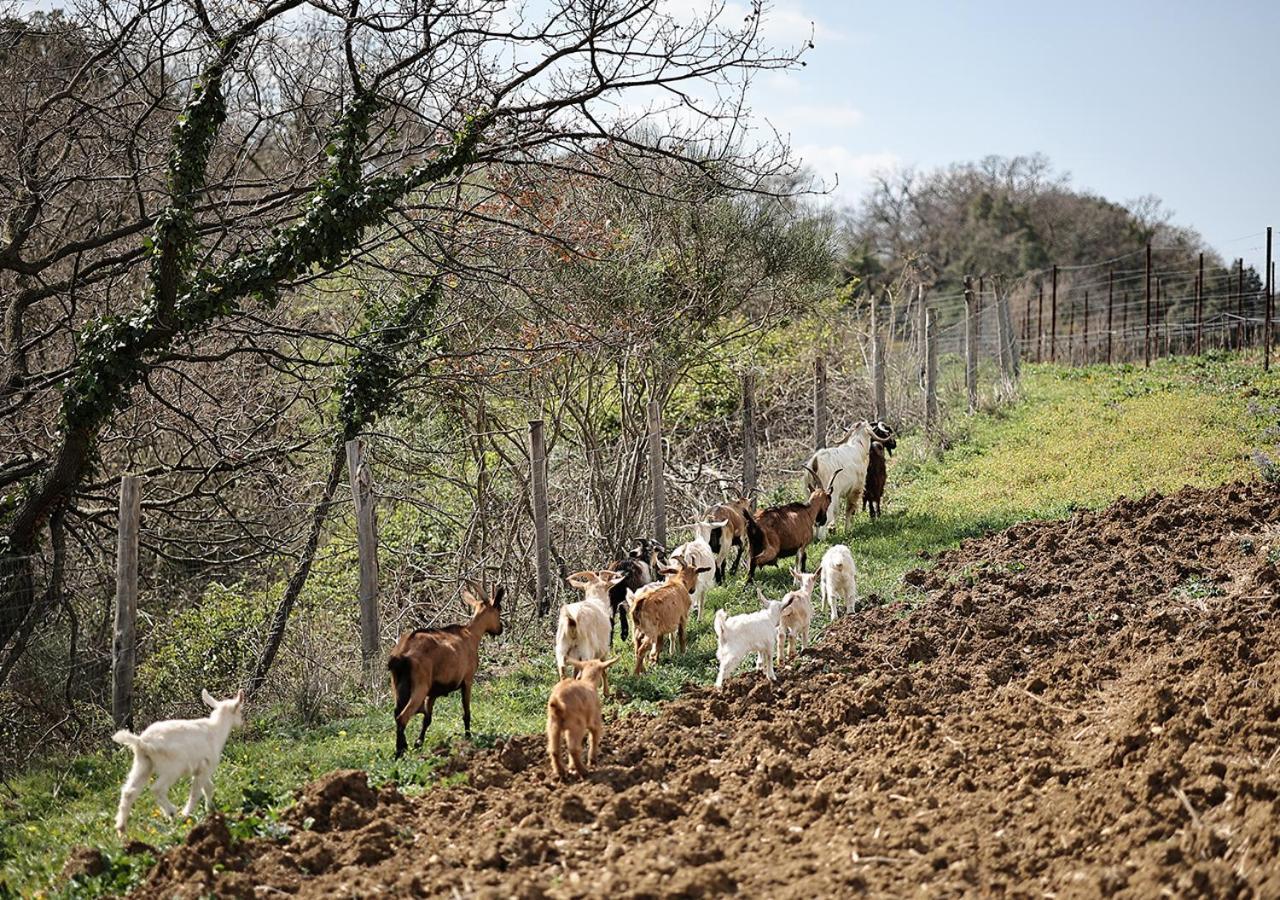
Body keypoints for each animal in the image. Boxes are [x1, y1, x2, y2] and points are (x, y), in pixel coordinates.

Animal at [115, 691, 247, 834]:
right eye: (240, 711)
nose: (242, 723)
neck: (216, 730)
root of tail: (142, 742)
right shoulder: (206, 767)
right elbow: (196, 792)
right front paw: (187, 813)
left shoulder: (201, 769)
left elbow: (208, 788)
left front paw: (211, 809)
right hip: (172, 767)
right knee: (157, 788)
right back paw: (172, 812)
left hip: (143, 764)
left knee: (129, 792)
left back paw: (121, 829)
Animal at [386, 583, 501, 757]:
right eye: (498, 610)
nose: (500, 629)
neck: (470, 634)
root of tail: (402, 652)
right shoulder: (467, 680)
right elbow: (466, 712)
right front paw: (468, 737)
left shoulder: (433, 693)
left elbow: (427, 719)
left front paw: (418, 743)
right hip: (420, 687)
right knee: (402, 717)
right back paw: (400, 752)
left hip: (397, 687)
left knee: (396, 713)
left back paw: (403, 746)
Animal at [542, 655, 616, 783]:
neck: (588, 682)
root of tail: (558, 703)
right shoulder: (595, 721)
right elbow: (593, 738)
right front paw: (592, 761)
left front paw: (571, 767)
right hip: (576, 725)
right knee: (573, 748)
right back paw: (584, 771)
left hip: (553, 726)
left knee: (554, 750)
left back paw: (561, 773)